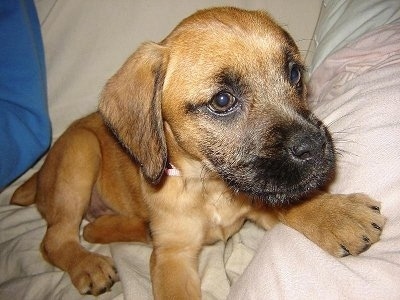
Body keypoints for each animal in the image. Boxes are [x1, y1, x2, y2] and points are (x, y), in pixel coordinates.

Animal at [10, 6, 384, 298]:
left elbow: (286, 200)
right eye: (222, 100)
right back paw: (87, 264)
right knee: (56, 240)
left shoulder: (255, 198)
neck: (208, 187)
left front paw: (332, 213)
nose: (316, 148)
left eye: (294, 73)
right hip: (80, 152)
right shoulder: (172, 259)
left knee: (89, 230)